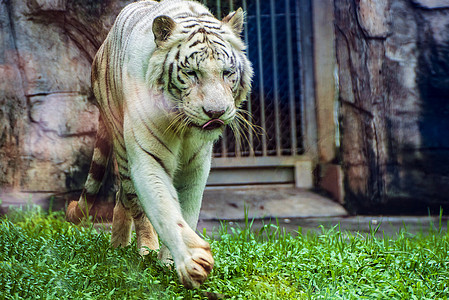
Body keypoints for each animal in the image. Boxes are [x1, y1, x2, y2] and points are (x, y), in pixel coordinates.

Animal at [68, 0, 254, 288]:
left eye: (227, 73)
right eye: (191, 73)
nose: (216, 113)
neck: (185, 129)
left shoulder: (196, 166)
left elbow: (187, 210)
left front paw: (169, 261)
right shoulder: (147, 158)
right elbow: (164, 209)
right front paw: (191, 260)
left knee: (122, 198)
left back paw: (118, 245)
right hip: (121, 145)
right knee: (133, 201)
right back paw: (145, 249)